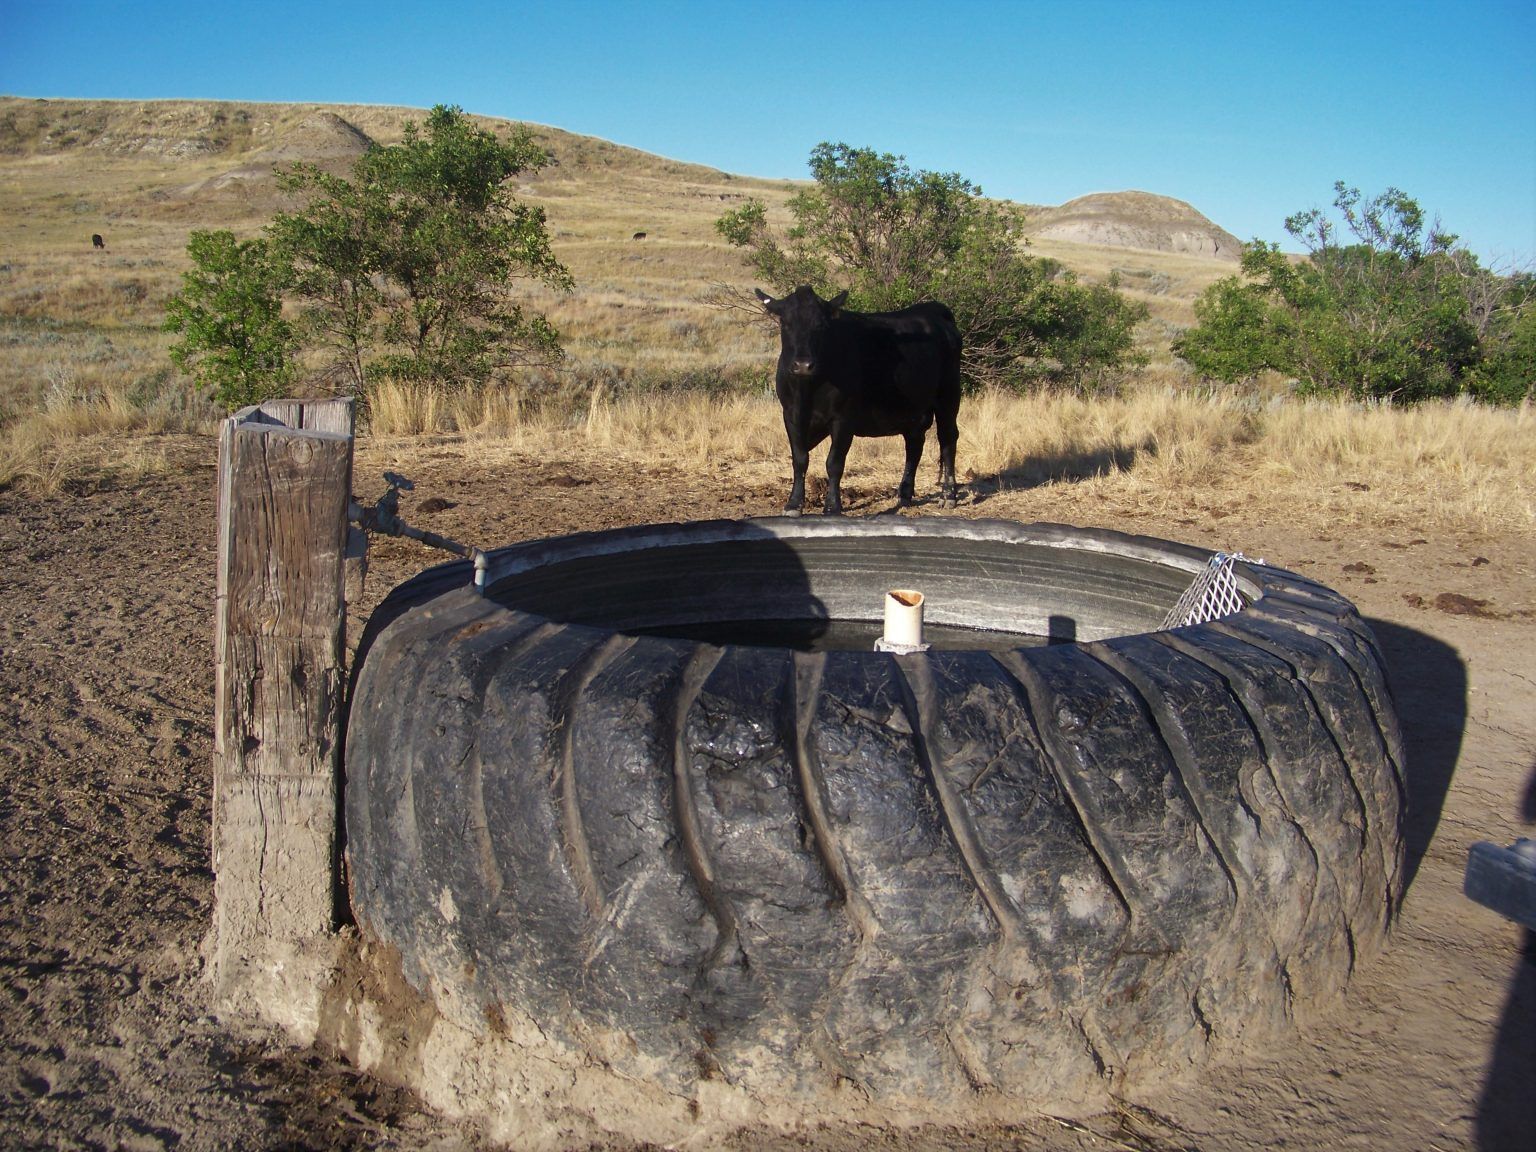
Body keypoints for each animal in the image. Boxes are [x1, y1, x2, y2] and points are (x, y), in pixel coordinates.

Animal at [756, 285, 962, 516]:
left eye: (821, 325)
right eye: (785, 322)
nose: (802, 365)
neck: (808, 390)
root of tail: (932, 309)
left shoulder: (843, 417)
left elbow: (834, 462)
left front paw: (832, 506)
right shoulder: (790, 414)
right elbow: (800, 459)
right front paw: (793, 504)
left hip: (949, 395)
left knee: (947, 438)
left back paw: (948, 495)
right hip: (914, 410)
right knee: (914, 445)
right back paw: (905, 494)